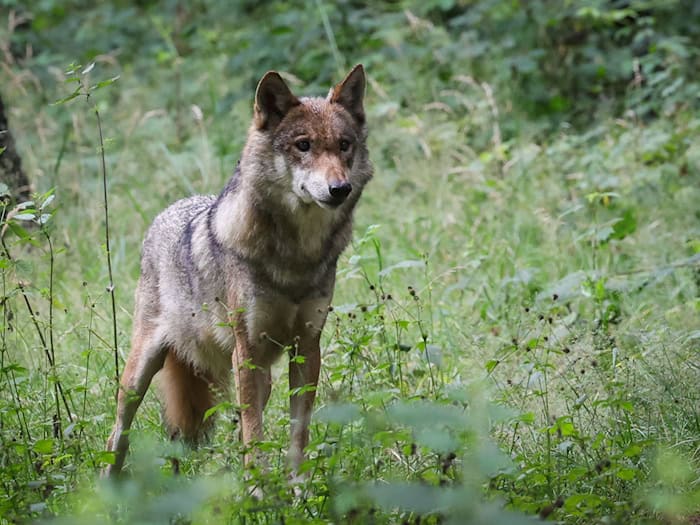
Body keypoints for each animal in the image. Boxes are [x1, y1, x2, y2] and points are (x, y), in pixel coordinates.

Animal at [104, 65, 372, 477]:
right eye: (303, 145)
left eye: (344, 145)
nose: (338, 189)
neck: (296, 256)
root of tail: (168, 210)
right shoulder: (246, 351)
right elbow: (253, 437)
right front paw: (259, 489)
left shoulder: (306, 348)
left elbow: (297, 436)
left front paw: (296, 489)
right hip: (140, 375)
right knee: (116, 436)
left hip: (261, 376)